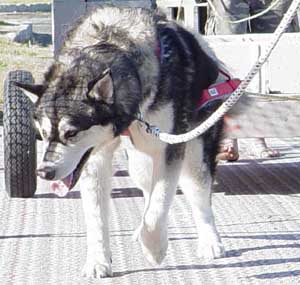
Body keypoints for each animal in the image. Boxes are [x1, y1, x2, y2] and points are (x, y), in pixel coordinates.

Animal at [15, 6, 227, 278]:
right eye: (41, 133)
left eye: (71, 133)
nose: (44, 172)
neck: (111, 44)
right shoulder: (94, 158)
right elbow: (98, 216)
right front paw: (98, 260)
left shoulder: (169, 148)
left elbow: (160, 203)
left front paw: (155, 248)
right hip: (139, 163)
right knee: (148, 190)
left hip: (194, 155)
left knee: (198, 195)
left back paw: (210, 241)